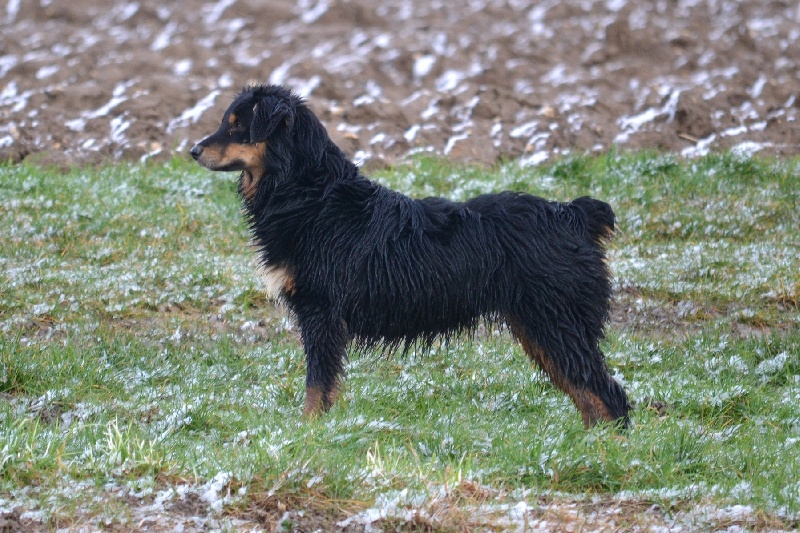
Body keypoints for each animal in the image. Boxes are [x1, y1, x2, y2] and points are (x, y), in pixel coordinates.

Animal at [192, 84, 632, 428]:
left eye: (238, 125)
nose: (193, 150)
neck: (309, 194)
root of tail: (572, 213)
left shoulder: (322, 314)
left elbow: (317, 386)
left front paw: (308, 432)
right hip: (541, 326)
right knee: (589, 393)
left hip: (555, 321)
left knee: (608, 395)